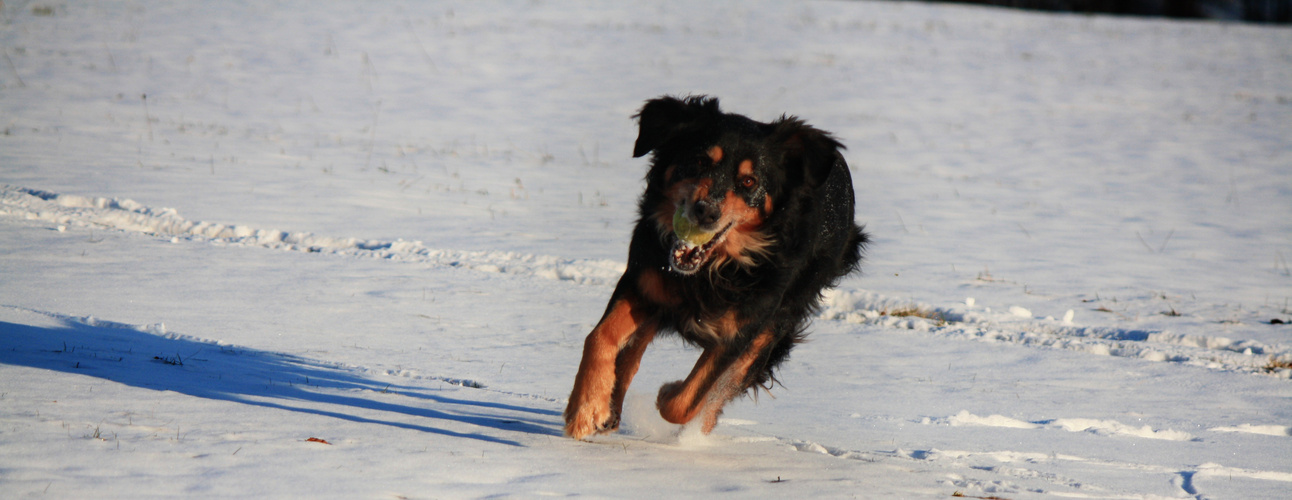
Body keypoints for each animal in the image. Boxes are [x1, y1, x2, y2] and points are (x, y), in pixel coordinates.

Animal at [565, 96, 868, 441]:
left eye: (749, 182)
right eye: (699, 162)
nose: (706, 212)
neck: (714, 269)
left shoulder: (744, 328)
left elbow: (689, 399)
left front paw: (668, 393)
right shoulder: (643, 281)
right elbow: (599, 337)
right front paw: (586, 408)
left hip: (780, 318)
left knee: (732, 379)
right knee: (633, 350)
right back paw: (611, 408)